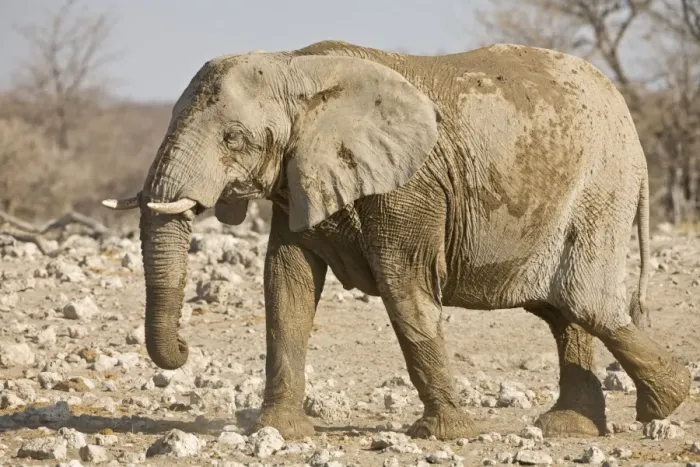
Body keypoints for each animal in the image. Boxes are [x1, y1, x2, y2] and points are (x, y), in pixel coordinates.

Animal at [103, 40, 691, 440]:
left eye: (234, 138)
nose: (184, 349)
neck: (297, 66)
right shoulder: (299, 178)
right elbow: (287, 286)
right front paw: (275, 432)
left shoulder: (408, 188)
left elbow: (404, 287)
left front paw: (443, 435)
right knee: (561, 309)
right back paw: (569, 428)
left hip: (601, 186)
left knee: (583, 299)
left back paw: (667, 403)